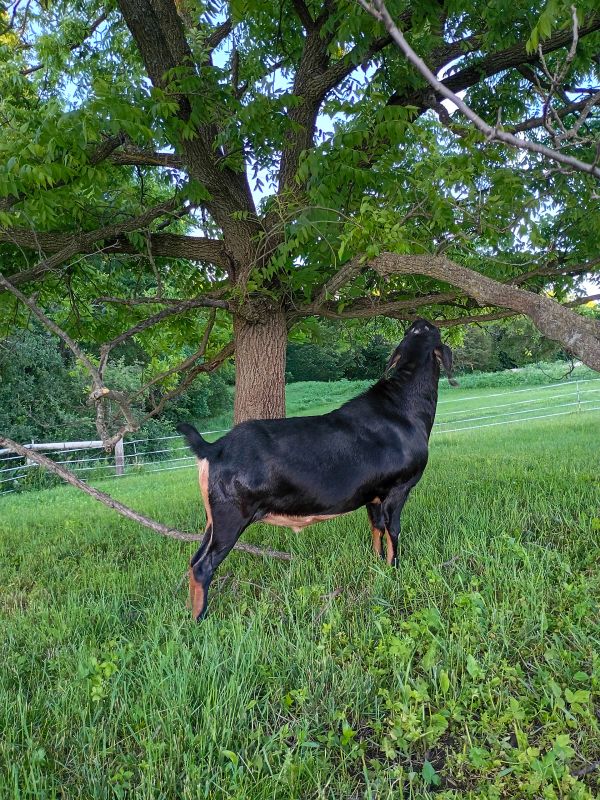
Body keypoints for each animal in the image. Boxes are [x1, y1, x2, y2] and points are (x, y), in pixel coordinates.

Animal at [178, 318, 457, 620]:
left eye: (416, 330)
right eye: (432, 330)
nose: (419, 320)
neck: (403, 407)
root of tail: (213, 448)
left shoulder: (373, 496)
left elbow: (377, 530)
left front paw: (377, 563)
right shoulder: (398, 489)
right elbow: (393, 531)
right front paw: (394, 569)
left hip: (213, 519)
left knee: (194, 560)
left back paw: (189, 612)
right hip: (231, 516)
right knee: (203, 566)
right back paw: (200, 619)